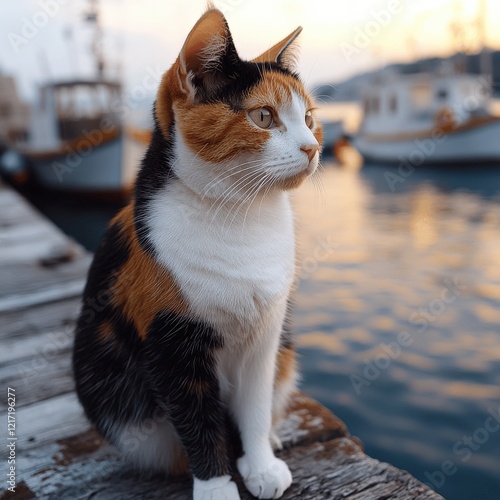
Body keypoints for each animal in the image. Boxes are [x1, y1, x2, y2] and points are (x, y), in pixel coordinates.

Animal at [74, 4, 324, 500]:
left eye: (307, 117)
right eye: (263, 117)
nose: (312, 147)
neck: (243, 219)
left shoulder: (266, 338)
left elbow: (254, 406)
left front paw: (260, 463)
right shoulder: (170, 344)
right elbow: (198, 424)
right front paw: (217, 486)